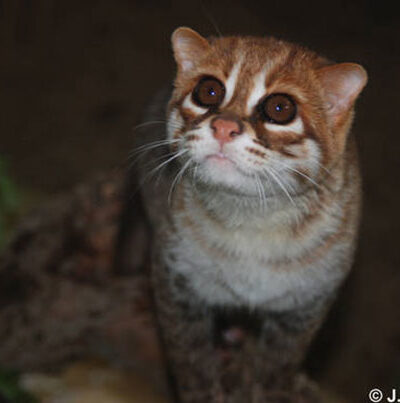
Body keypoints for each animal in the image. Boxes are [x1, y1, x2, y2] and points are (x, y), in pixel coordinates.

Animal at [135, 26, 368, 402]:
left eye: (280, 107)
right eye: (208, 91)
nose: (223, 127)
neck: (253, 221)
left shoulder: (308, 303)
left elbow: (276, 366)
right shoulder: (174, 282)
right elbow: (191, 363)